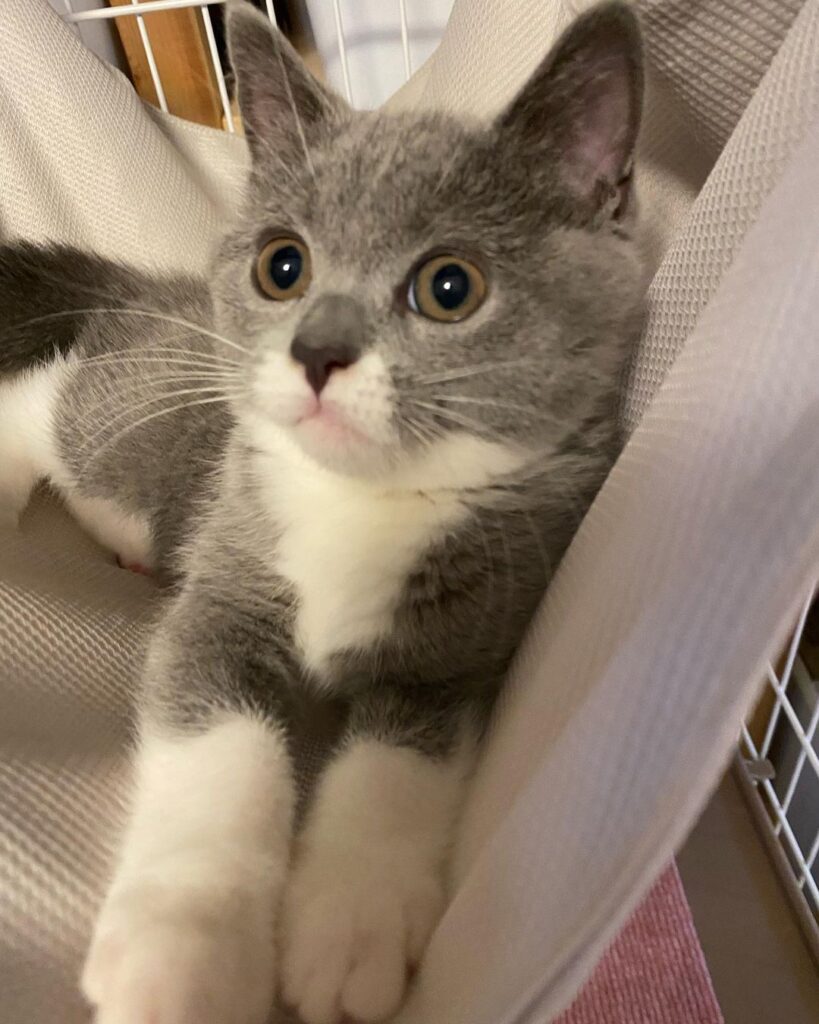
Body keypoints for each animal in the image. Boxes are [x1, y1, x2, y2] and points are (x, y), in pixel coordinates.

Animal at [0, 2, 645, 1022]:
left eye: (449, 286)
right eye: (282, 266)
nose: (317, 351)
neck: (361, 504)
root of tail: (156, 297)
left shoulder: (468, 638)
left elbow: (397, 767)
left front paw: (350, 929)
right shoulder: (224, 583)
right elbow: (223, 746)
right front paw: (186, 953)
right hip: (135, 418)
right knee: (46, 402)